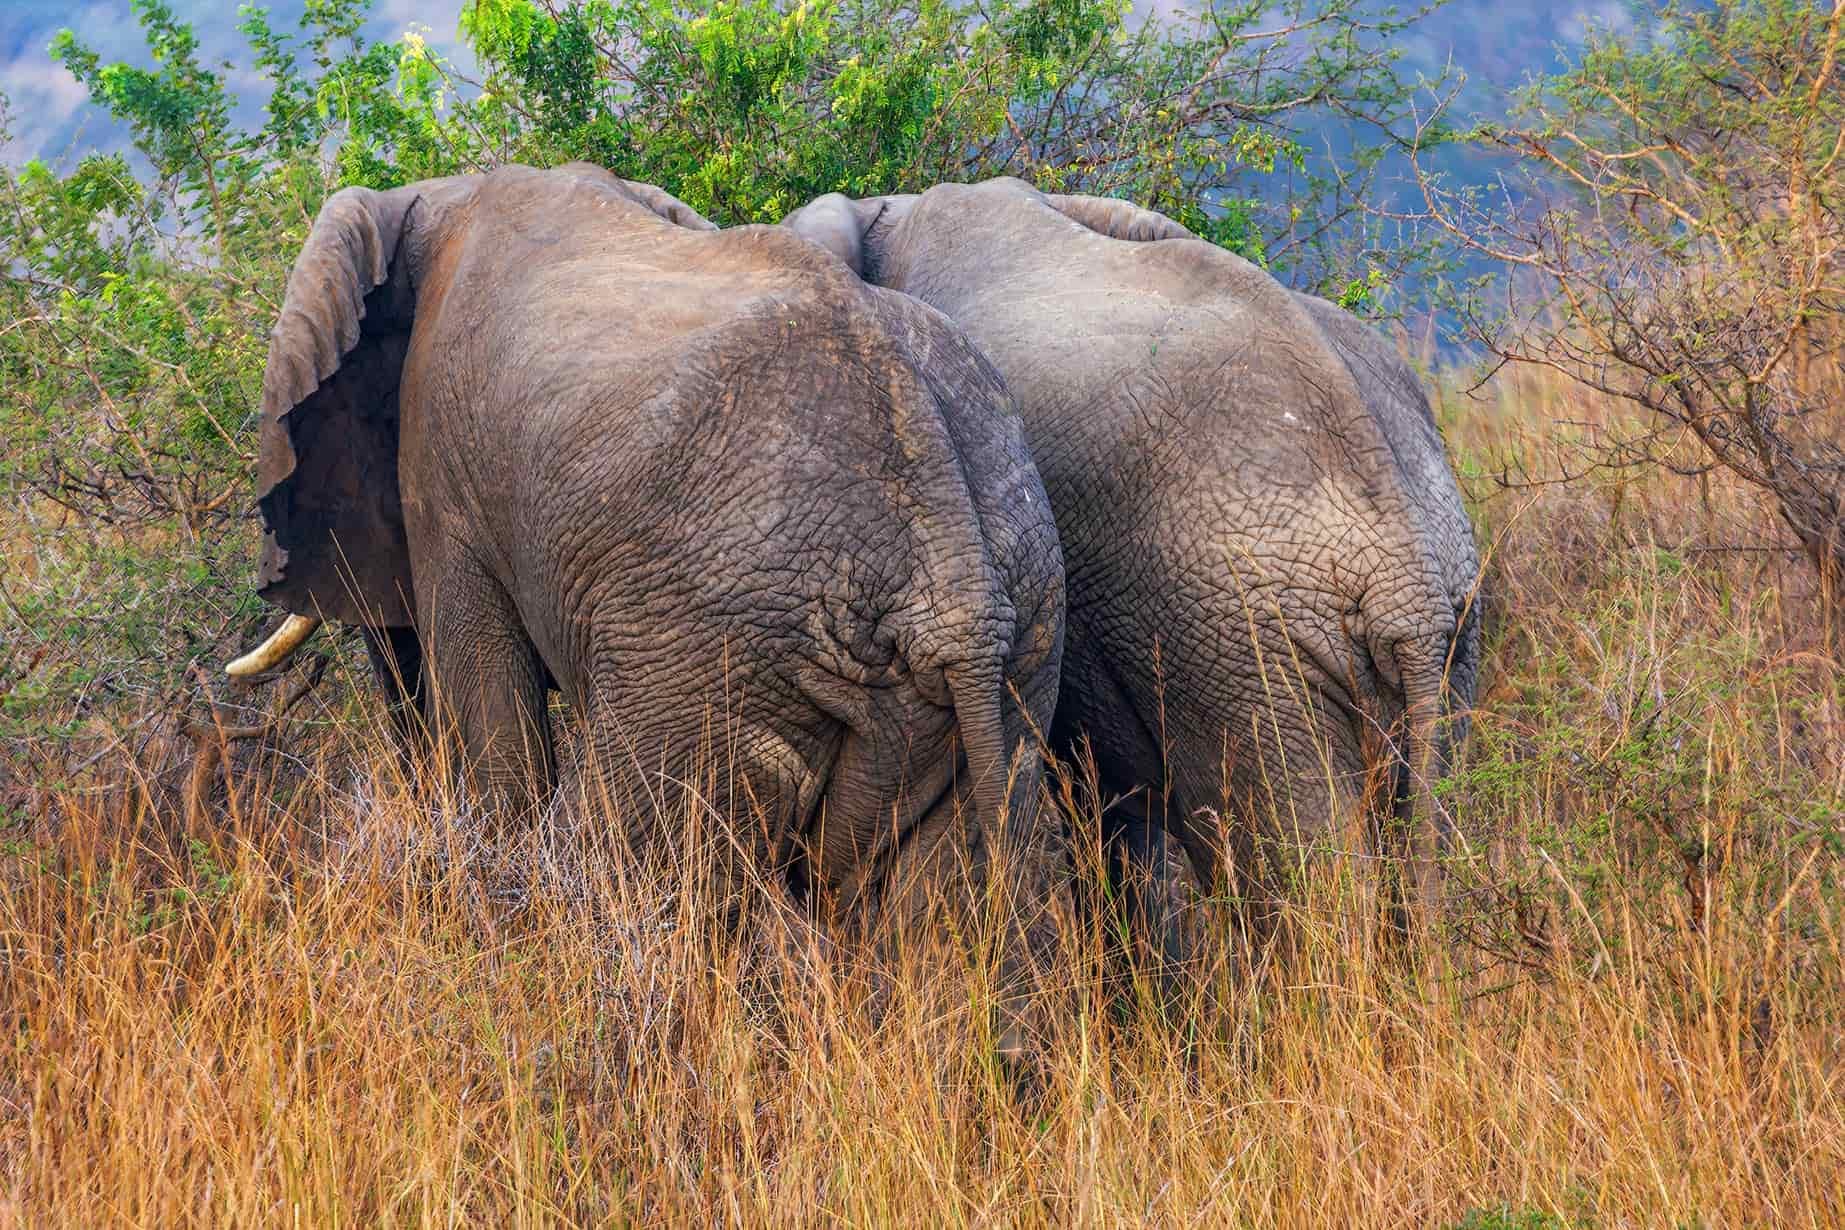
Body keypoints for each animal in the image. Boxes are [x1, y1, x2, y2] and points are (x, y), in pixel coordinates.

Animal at [230, 163, 1070, 1047]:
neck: (441, 194)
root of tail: (954, 581)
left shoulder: (442, 471)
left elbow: (488, 710)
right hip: (1015, 656)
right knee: (934, 916)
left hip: (706, 658)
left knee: (625, 862)